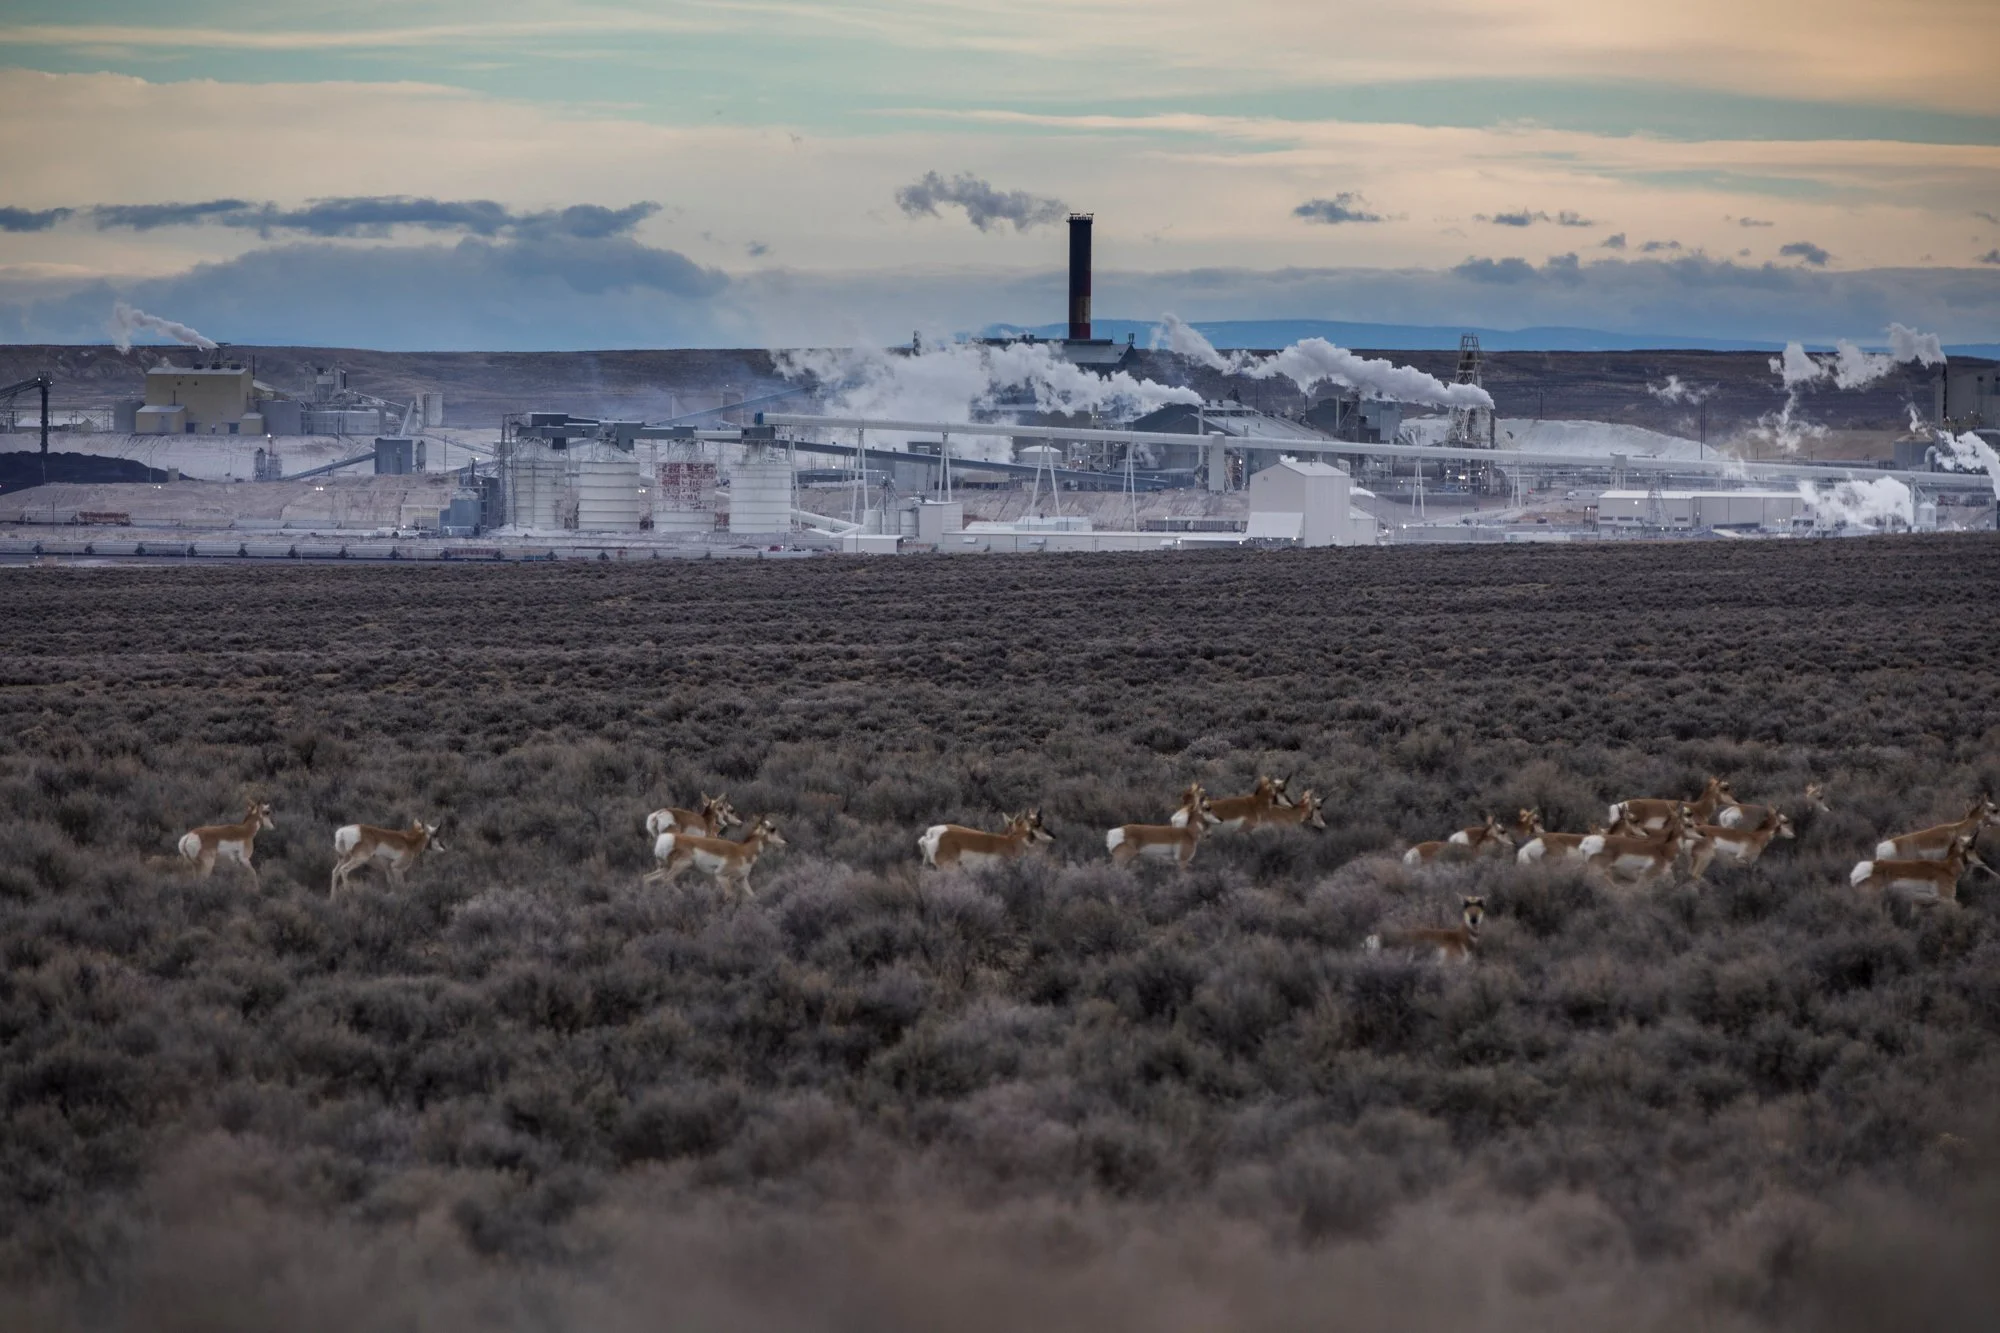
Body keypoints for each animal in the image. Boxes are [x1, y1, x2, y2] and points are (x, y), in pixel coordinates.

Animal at [647, 815, 786, 900]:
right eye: (772, 829)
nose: (784, 842)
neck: (743, 850)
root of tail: (670, 837)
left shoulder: (742, 879)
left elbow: (752, 895)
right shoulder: (721, 877)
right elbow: (730, 896)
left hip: (665, 867)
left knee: (647, 878)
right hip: (682, 865)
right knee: (667, 880)